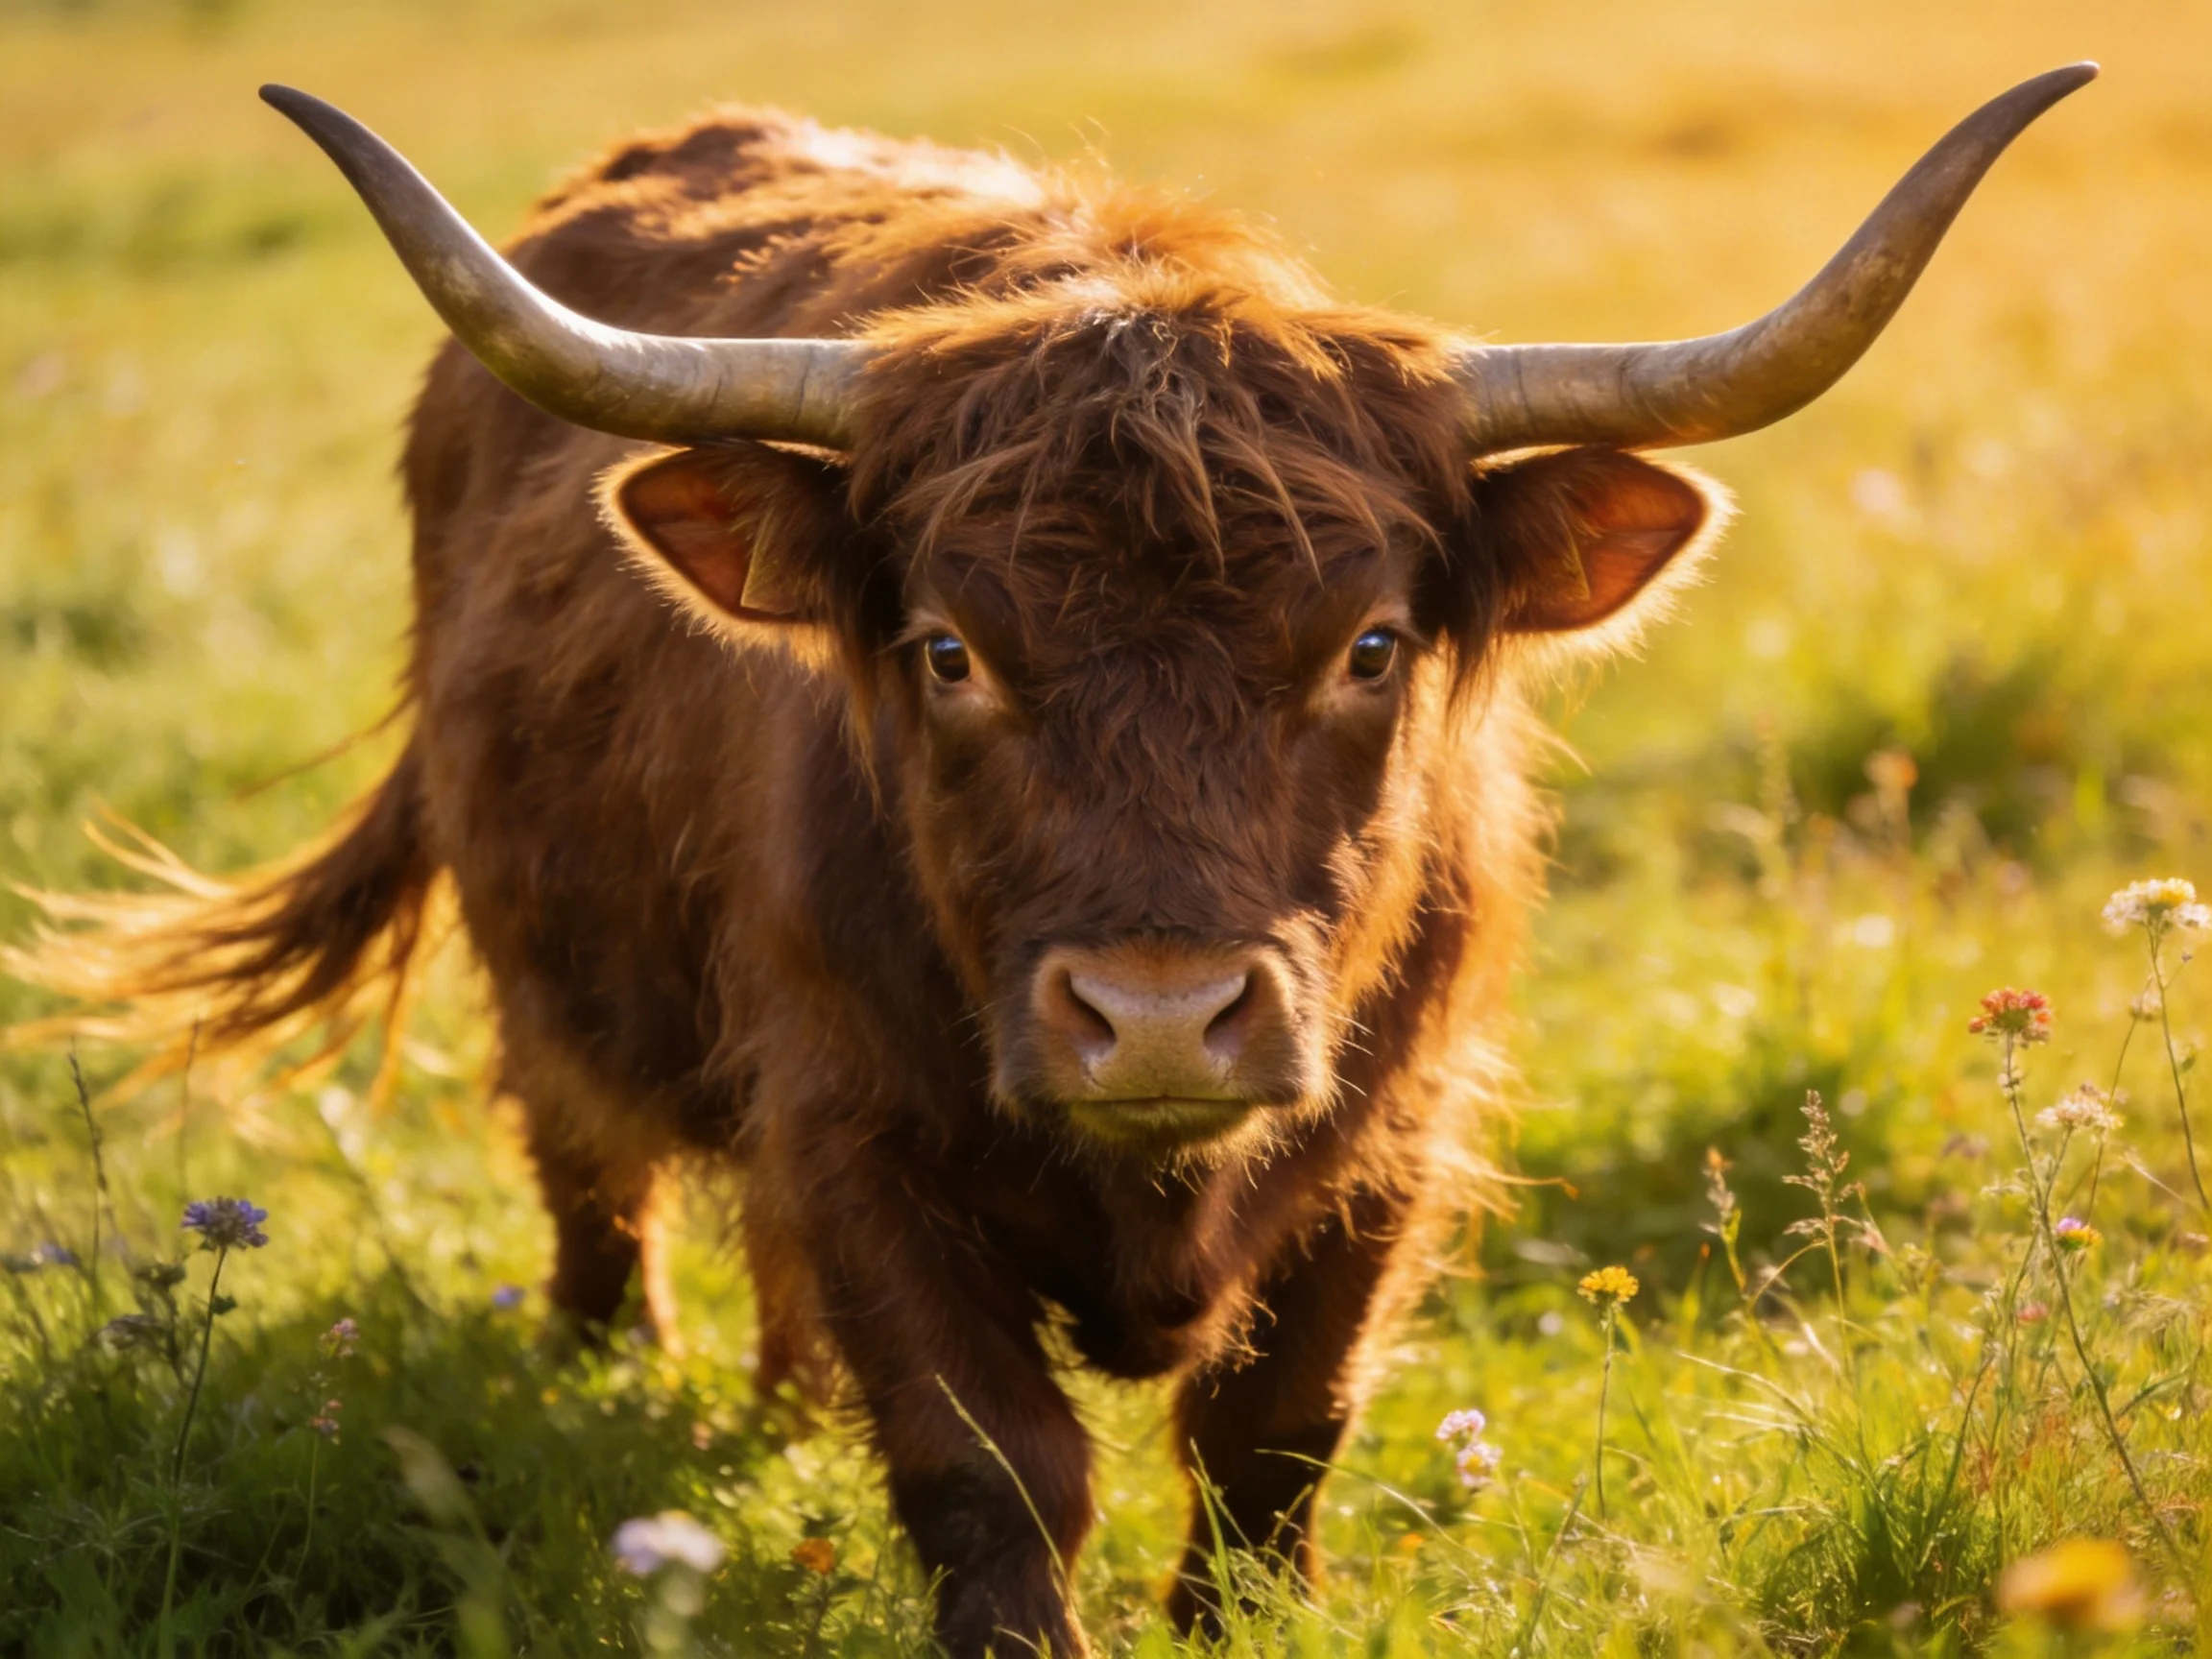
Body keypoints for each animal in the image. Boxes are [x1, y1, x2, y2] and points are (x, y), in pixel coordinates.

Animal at [11, 65, 2092, 1656]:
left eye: (1368, 645)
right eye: (949, 649)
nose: (1159, 1017)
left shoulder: (1389, 1132)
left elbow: (1274, 1432)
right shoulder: (854, 1122)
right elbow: (990, 1457)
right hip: (553, 986)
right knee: (596, 1183)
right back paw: (603, 1376)